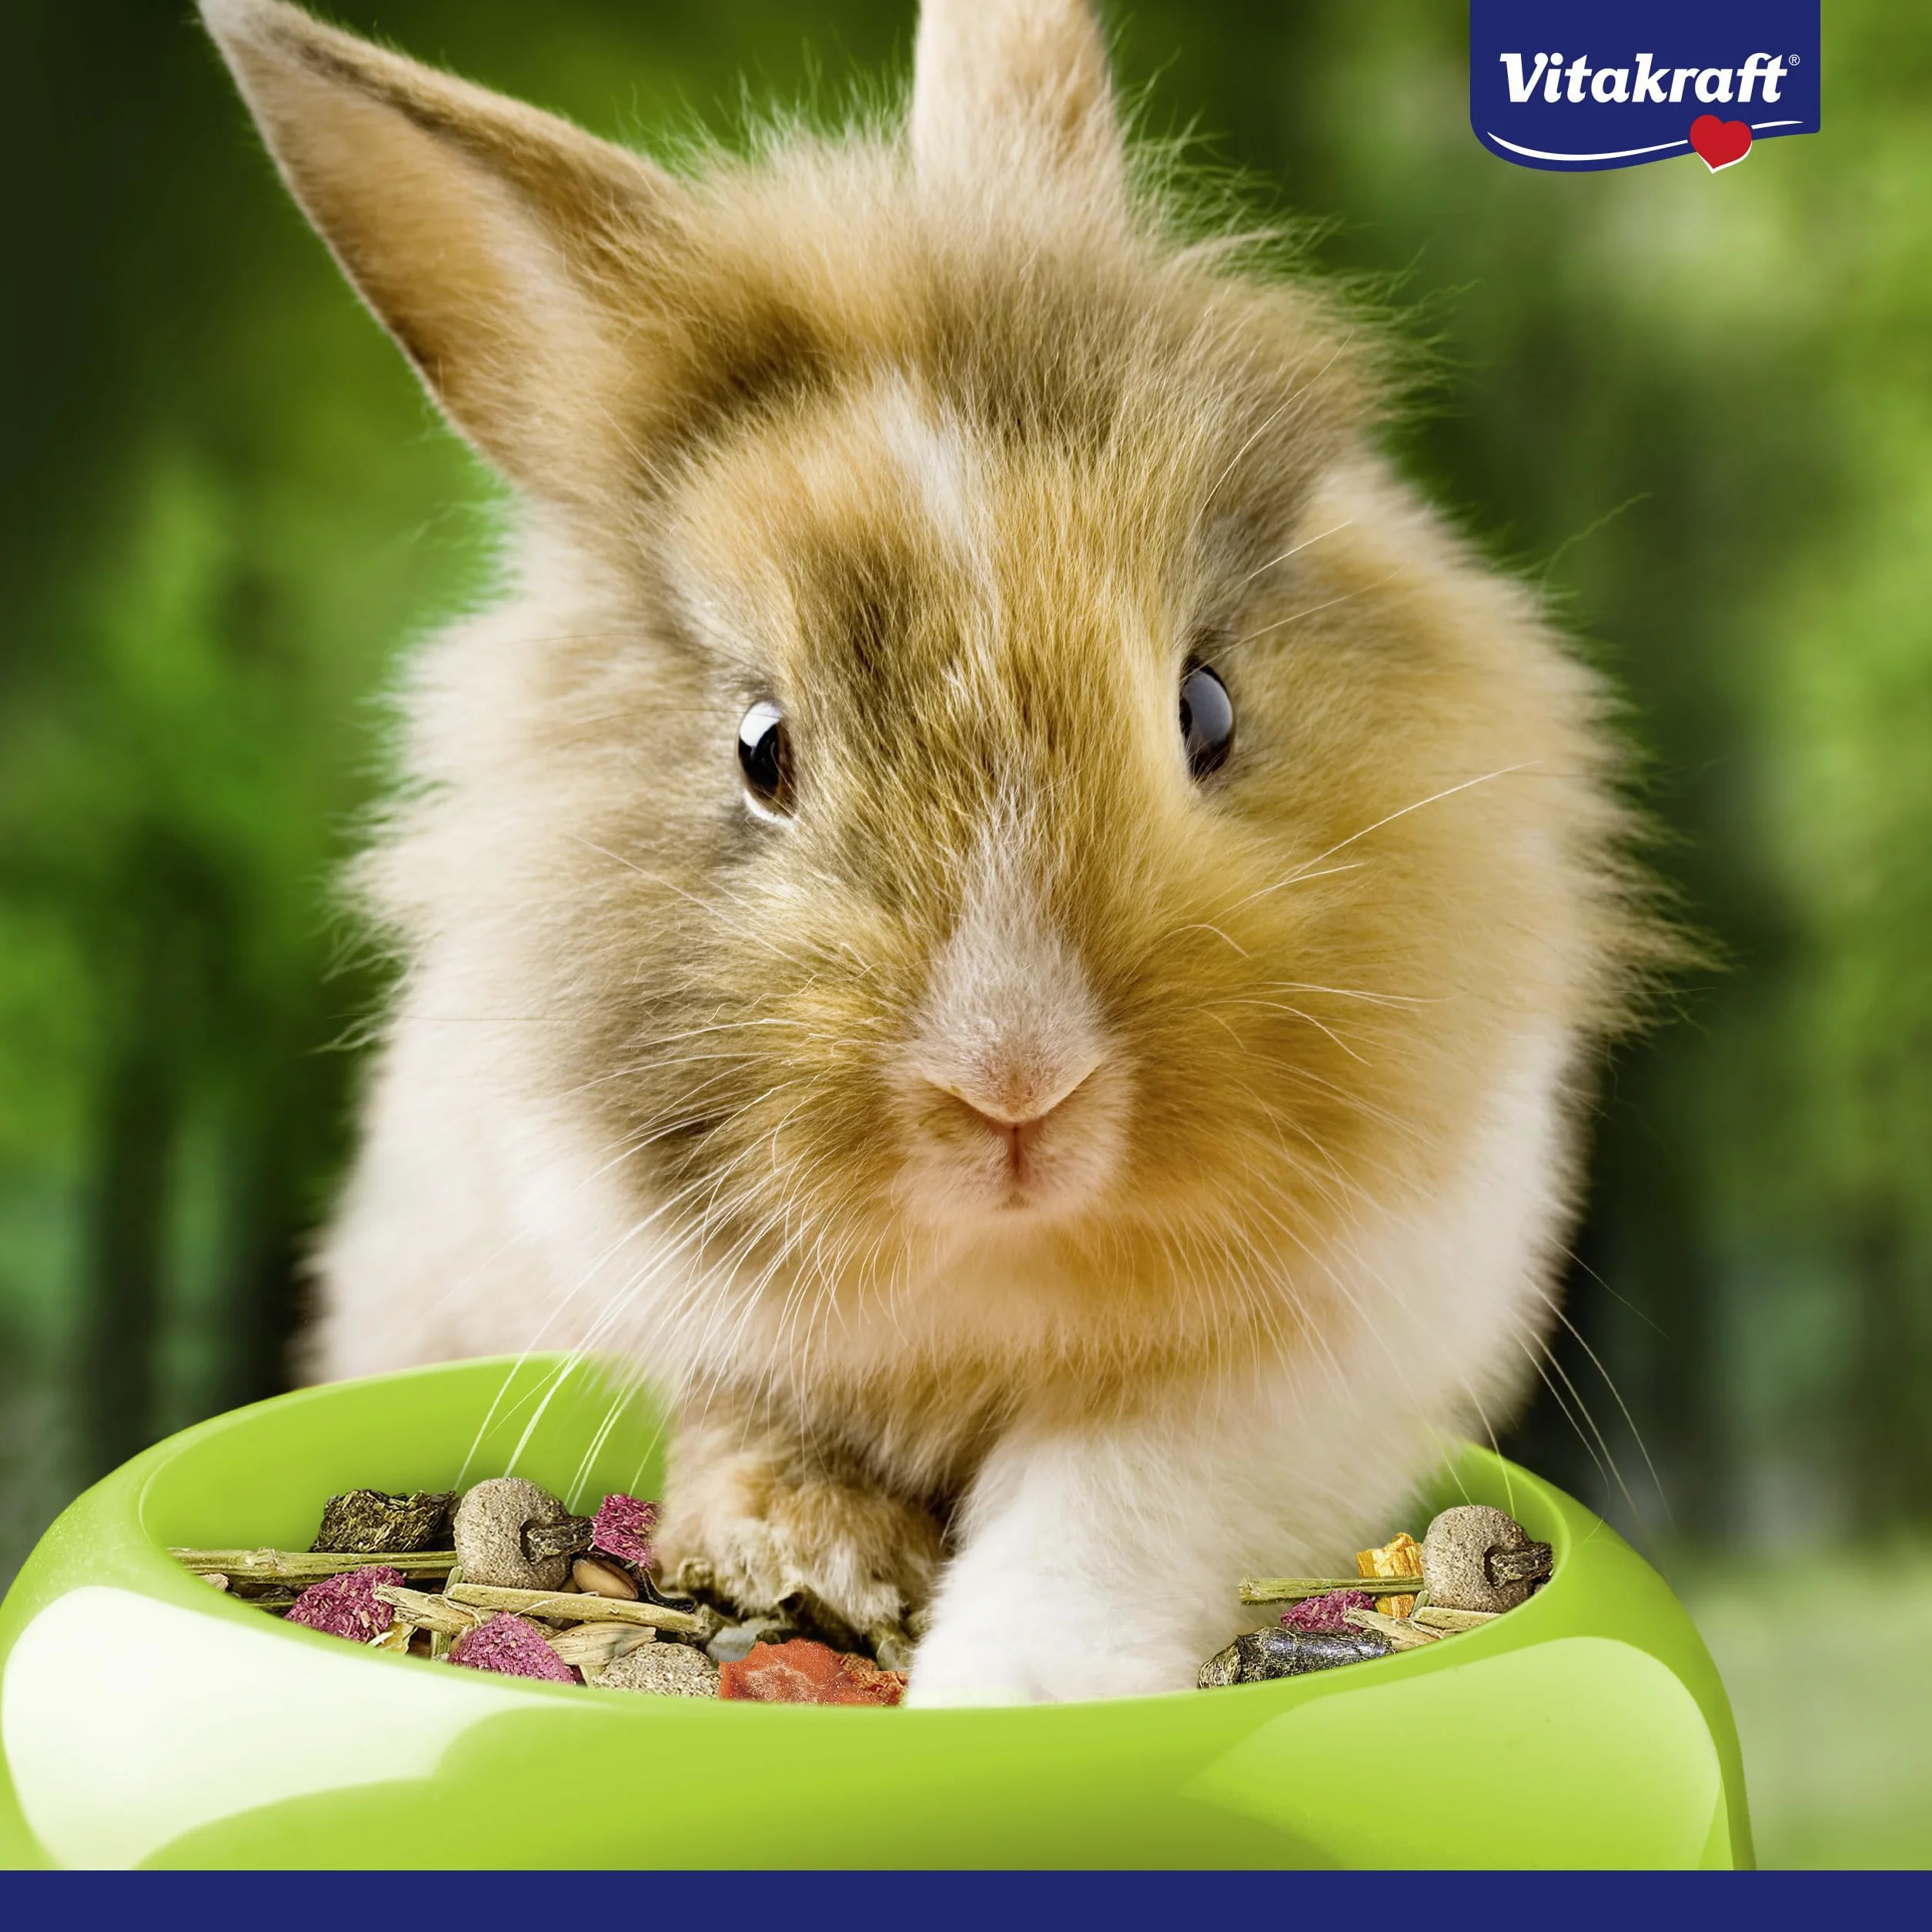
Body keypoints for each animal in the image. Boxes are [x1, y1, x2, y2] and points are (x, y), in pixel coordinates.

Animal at [201, 0, 1663, 1703]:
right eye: (762, 748)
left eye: (1207, 705)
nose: (1016, 1089)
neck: (999, 1270)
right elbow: (739, 1416)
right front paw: (803, 1557)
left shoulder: (1310, 1369)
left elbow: (1110, 1497)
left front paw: (1012, 1688)